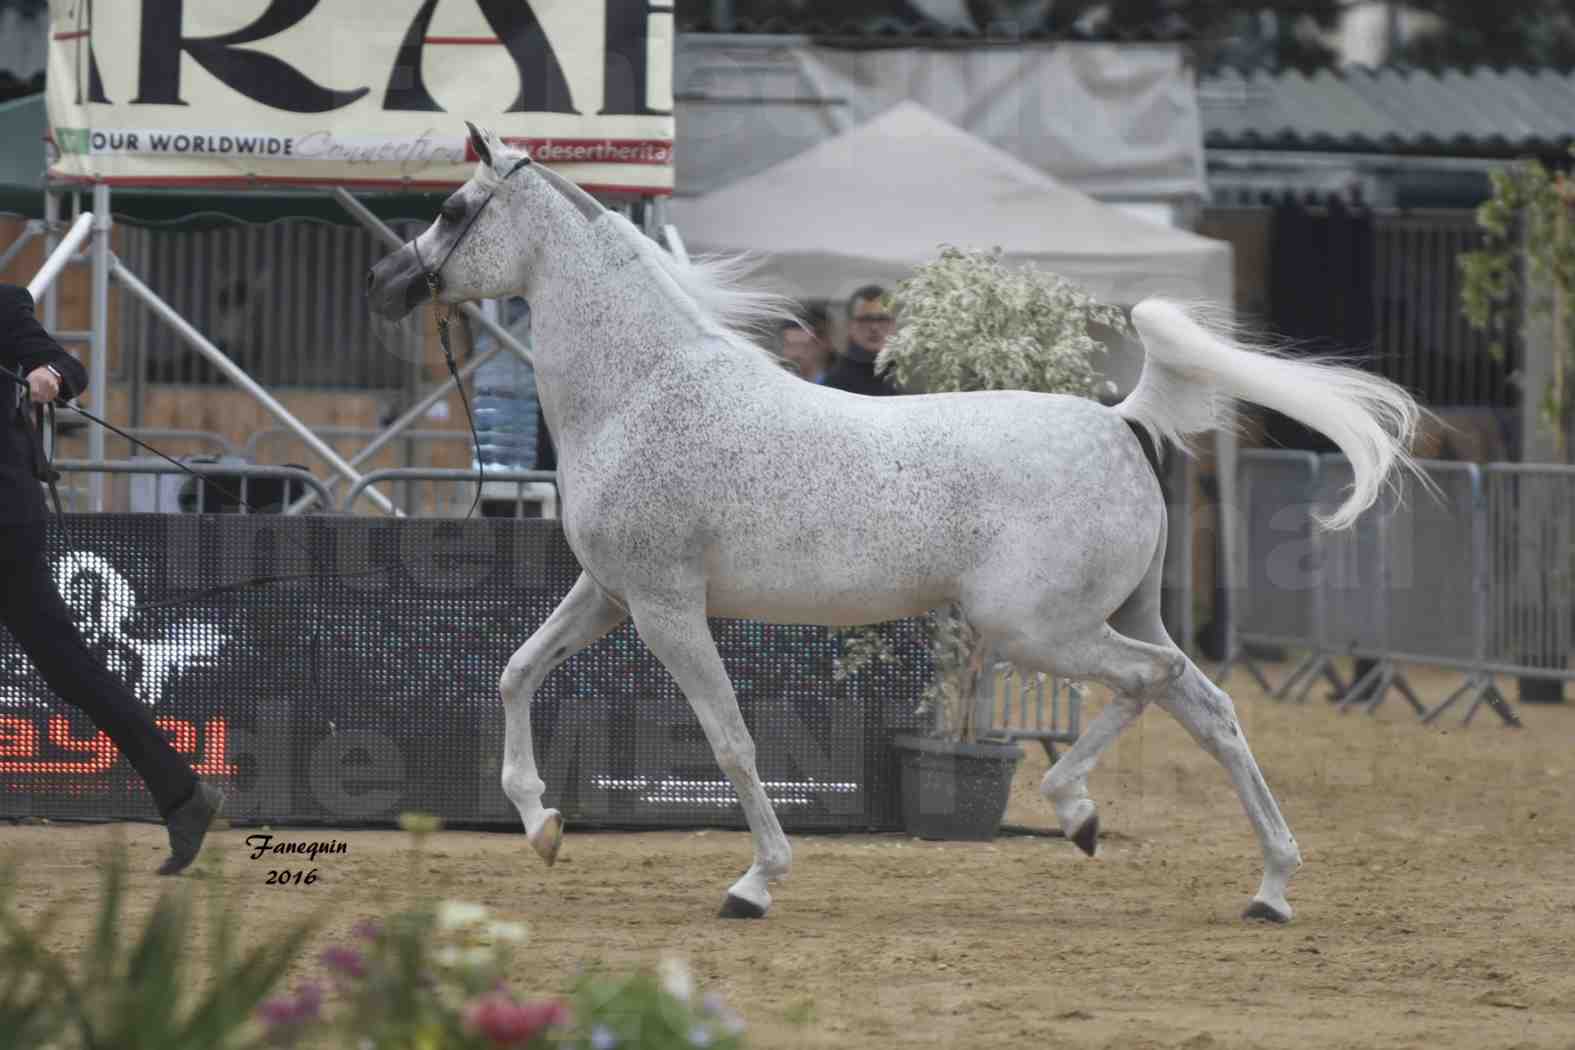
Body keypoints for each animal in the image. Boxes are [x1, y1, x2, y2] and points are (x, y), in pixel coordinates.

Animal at [371, 125, 1430, 925]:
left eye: (453, 211)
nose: (389, 281)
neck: (642, 391)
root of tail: (1118, 420)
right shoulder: (607, 594)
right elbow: (514, 673)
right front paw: (540, 825)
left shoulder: (668, 608)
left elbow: (730, 741)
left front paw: (754, 883)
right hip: (1116, 615)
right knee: (1207, 707)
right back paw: (1269, 888)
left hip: (1036, 629)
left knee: (1151, 683)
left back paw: (1077, 812)